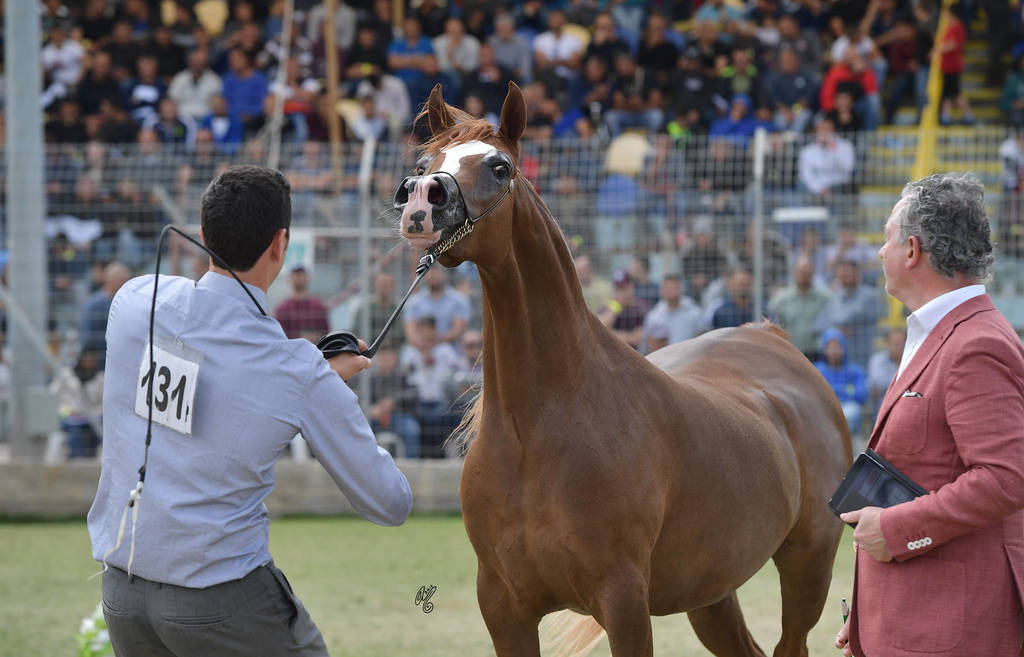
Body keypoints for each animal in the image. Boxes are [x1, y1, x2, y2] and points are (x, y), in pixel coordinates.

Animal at [395, 82, 852, 657]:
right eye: (424, 162)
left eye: (500, 167)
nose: (419, 201)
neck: (537, 427)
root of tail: (773, 337)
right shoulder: (503, 606)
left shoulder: (624, 601)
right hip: (711, 589)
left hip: (808, 566)